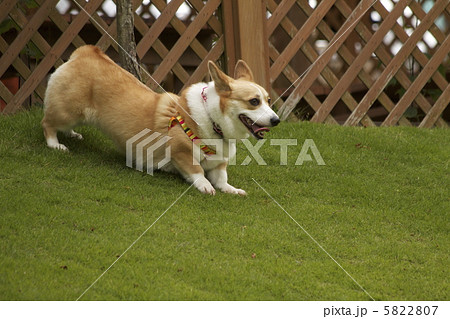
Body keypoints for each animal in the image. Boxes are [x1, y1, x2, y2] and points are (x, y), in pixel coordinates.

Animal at [43, 45, 282, 195]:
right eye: (254, 101)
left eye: (269, 100)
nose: (276, 120)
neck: (212, 120)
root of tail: (87, 52)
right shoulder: (180, 153)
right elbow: (197, 171)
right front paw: (205, 186)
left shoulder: (218, 164)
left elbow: (222, 179)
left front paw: (232, 189)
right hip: (68, 111)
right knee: (48, 123)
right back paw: (56, 144)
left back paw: (73, 134)